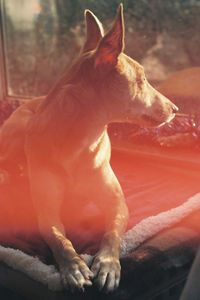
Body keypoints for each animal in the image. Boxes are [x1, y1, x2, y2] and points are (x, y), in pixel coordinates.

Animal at [0, 3, 178, 292]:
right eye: (141, 80)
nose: (175, 109)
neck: (80, 142)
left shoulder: (117, 203)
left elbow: (112, 234)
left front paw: (107, 264)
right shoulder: (46, 211)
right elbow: (58, 238)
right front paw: (73, 268)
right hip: (17, 133)